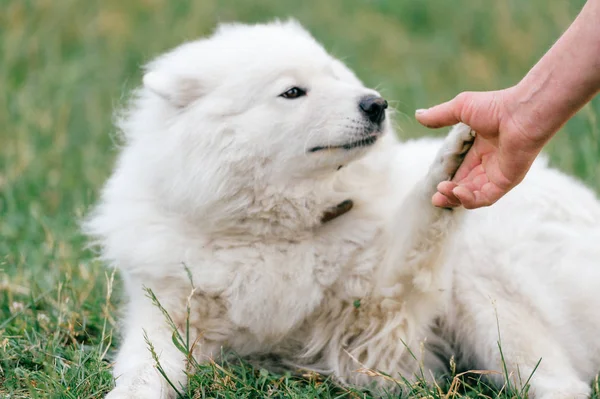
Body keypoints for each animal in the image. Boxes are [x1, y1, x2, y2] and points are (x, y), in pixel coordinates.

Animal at [86, 19, 600, 399]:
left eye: (335, 75)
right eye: (293, 92)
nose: (376, 103)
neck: (275, 235)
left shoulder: (379, 324)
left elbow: (421, 225)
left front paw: (450, 162)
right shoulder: (165, 312)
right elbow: (144, 369)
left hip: (483, 291)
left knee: (560, 382)